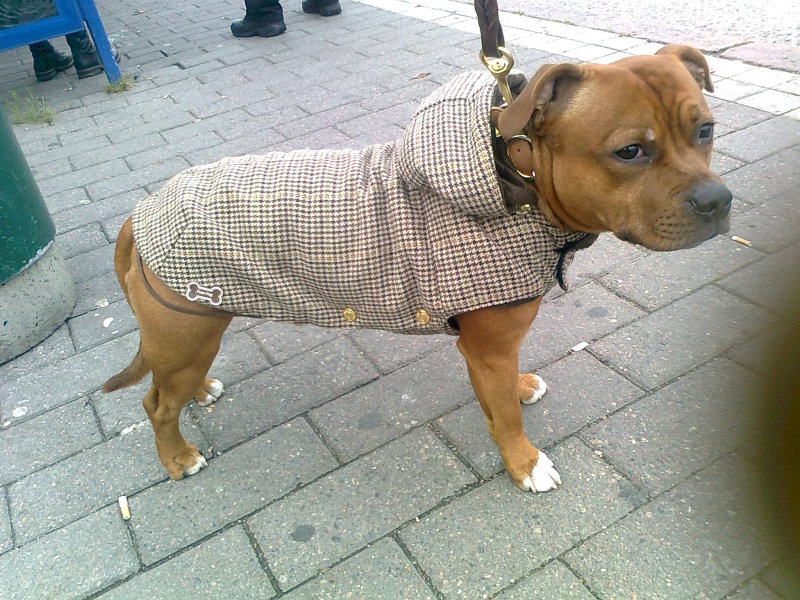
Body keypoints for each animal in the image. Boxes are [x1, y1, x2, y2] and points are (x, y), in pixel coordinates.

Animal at [101, 45, 732, 492]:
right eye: (629, 151)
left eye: (706, 130)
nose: (717, 201)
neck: (516, 182)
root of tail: (142, 211)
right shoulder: (486, 348)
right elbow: (504, 419)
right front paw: (524, 465)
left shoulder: (497, 346)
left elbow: (506, 391)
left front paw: (521, 388)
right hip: (184, 331)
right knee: (156, 403)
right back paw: (177, 458)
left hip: (198, 327)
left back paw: (201, 392)